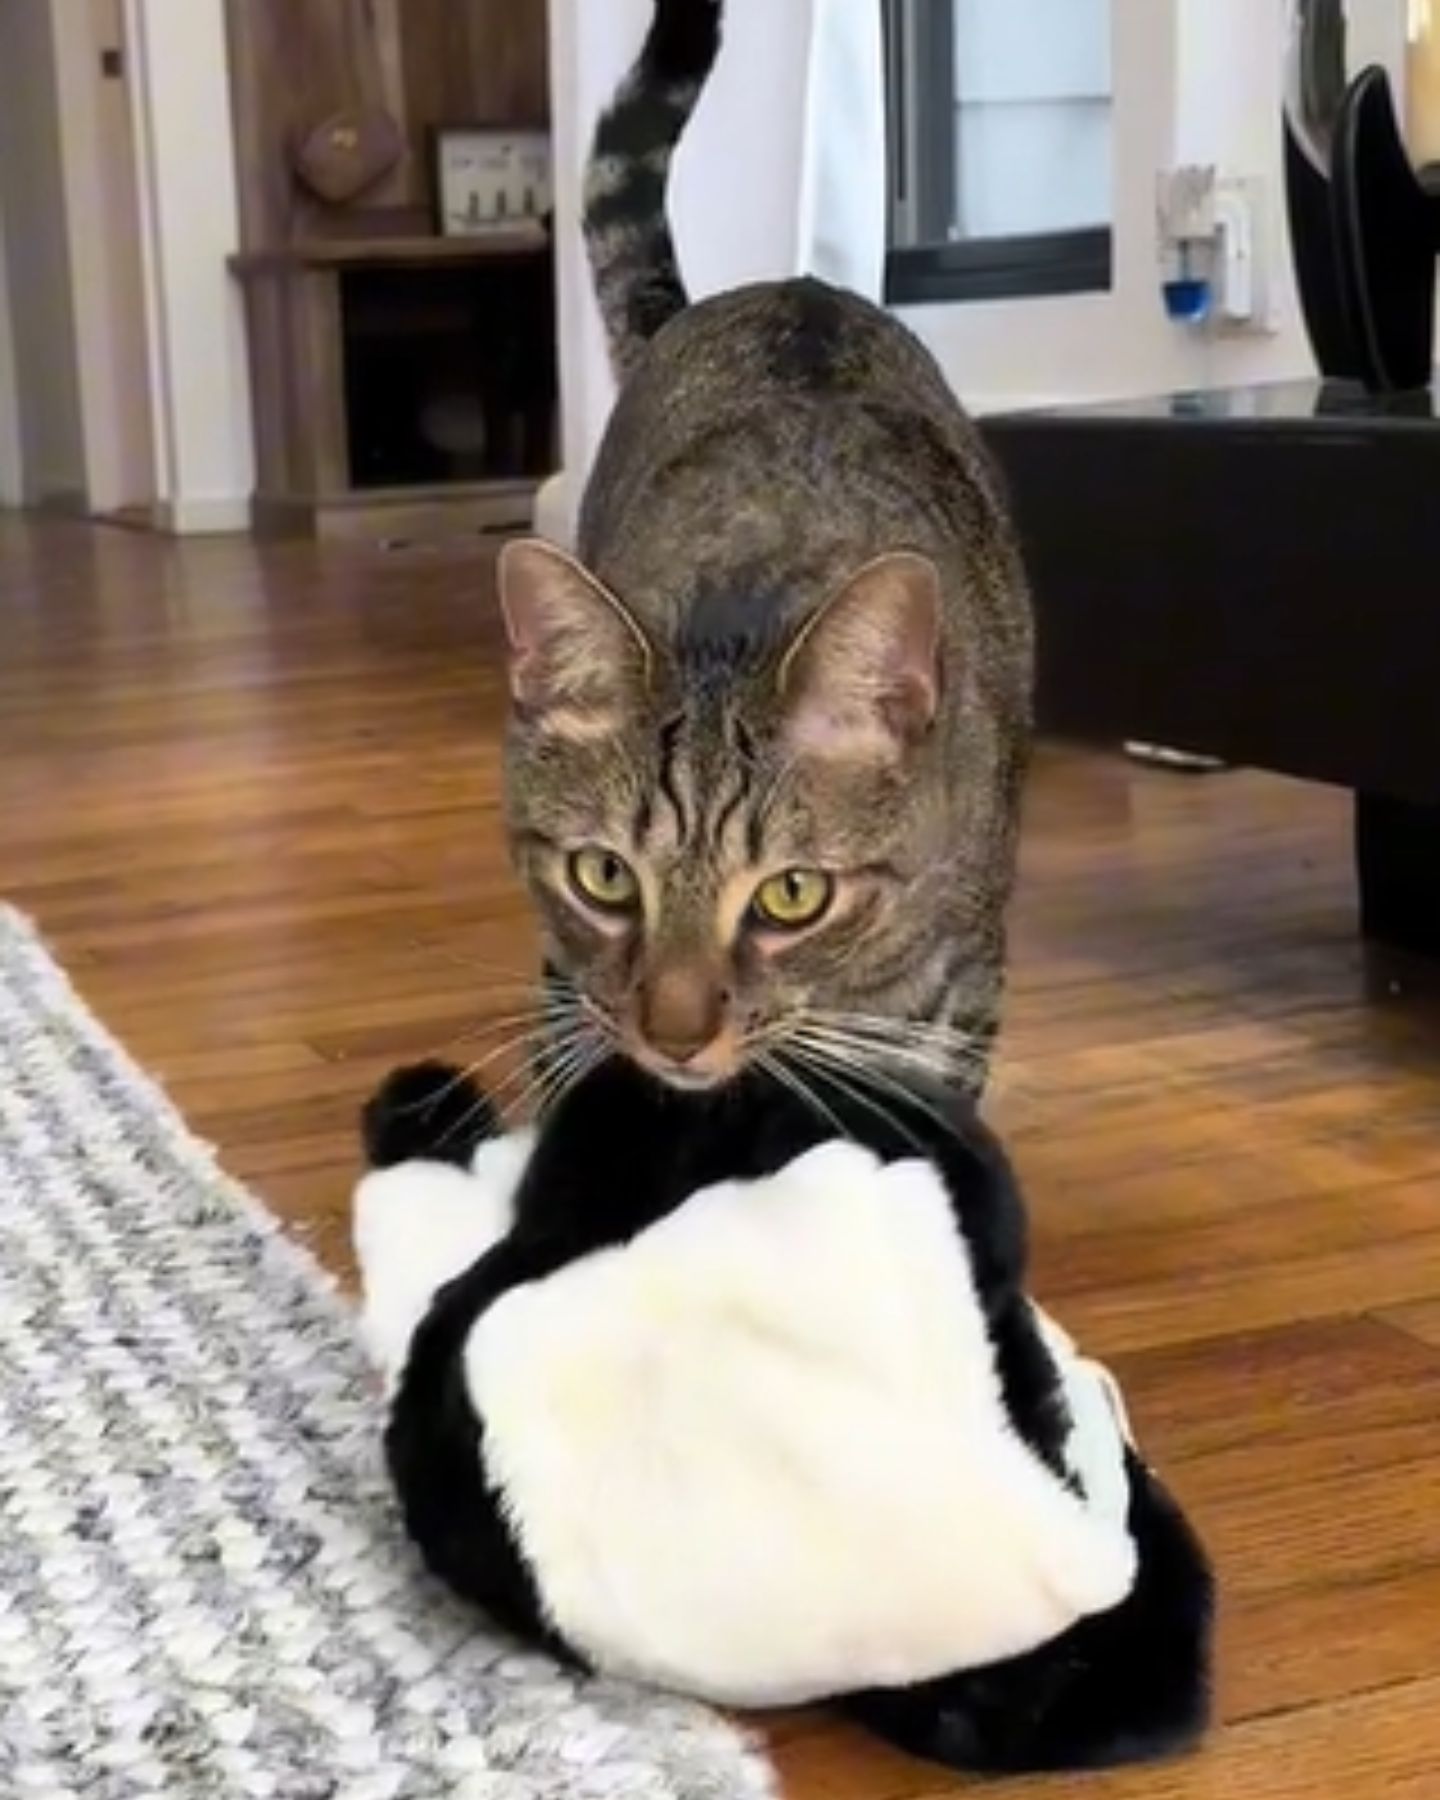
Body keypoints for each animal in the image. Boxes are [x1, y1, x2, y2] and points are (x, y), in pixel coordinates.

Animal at [493, 0, 1022, 1101]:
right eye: (604, 877)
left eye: (792, 896)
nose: (676, 1033)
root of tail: (783, 287)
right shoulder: (572, 991)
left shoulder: (951, 1006)